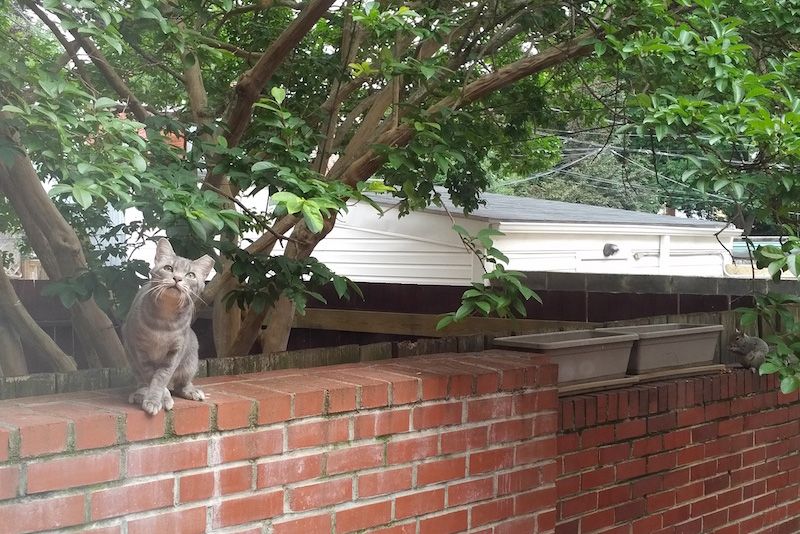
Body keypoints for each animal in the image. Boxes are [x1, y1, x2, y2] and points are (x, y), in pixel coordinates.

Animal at [122, 240, 216, 418]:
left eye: (191, 275)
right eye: (168, 268)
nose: (177, 278)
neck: (164, 321)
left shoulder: (175, 352)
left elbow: (162, 376)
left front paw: (158, 398)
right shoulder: (139, 350)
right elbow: (152, 376)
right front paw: (157, 399)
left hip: (191, 356)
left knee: (181, 384)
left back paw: (191, 391)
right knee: (142, 383)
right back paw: (140, 394)